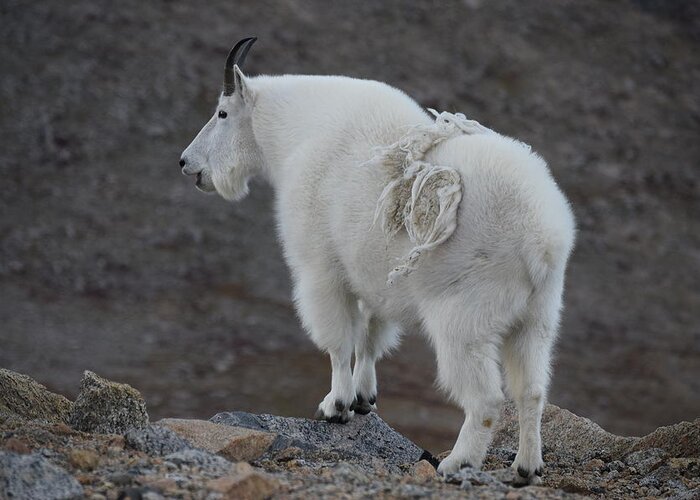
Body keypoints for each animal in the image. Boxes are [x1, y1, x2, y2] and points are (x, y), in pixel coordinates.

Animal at [179, 37, 576, 482]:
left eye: (222, 113)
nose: (186, 163)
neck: (295, 133)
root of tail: (543, 238)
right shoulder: (372, 275)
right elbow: (370, 334)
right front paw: (364, 398)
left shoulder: (321, 269)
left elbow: (338, 340)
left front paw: (335, 406)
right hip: (538, 315)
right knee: (532, 389)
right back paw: (527, 466)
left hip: (464, 316)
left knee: (486, 397)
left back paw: (458, 462)